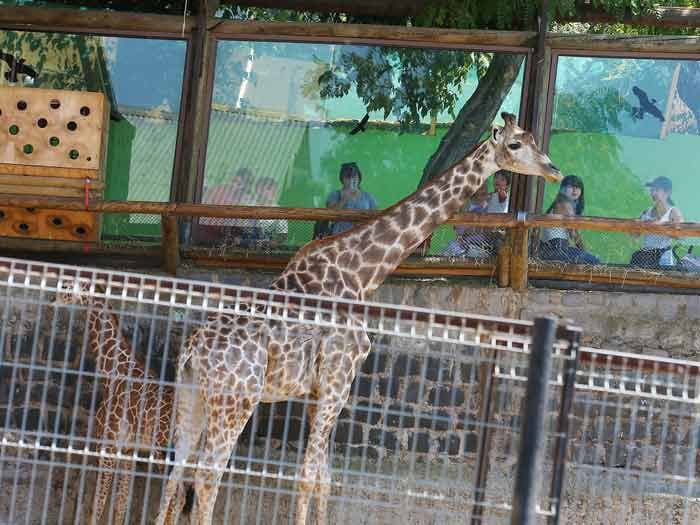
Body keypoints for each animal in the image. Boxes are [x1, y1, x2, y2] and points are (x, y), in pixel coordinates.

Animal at [55, 278, 185, 524]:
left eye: (66, 286)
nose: (52, 299)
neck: (113, 372)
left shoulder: (108, 444)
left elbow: (98, 503)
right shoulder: (127, 450)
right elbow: (120, 503)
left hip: (163, 448)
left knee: (175, 497)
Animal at [157, 112, 564, 520]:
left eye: (534, 139)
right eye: (515, 144)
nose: (555, 170)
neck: (360, 272)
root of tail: (193, 350)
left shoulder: (319, 391)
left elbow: (325, 477)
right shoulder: (337, 382)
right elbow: (307, 476)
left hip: (193, 395)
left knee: (176, 471)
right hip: (235, 400)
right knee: (206, 476)